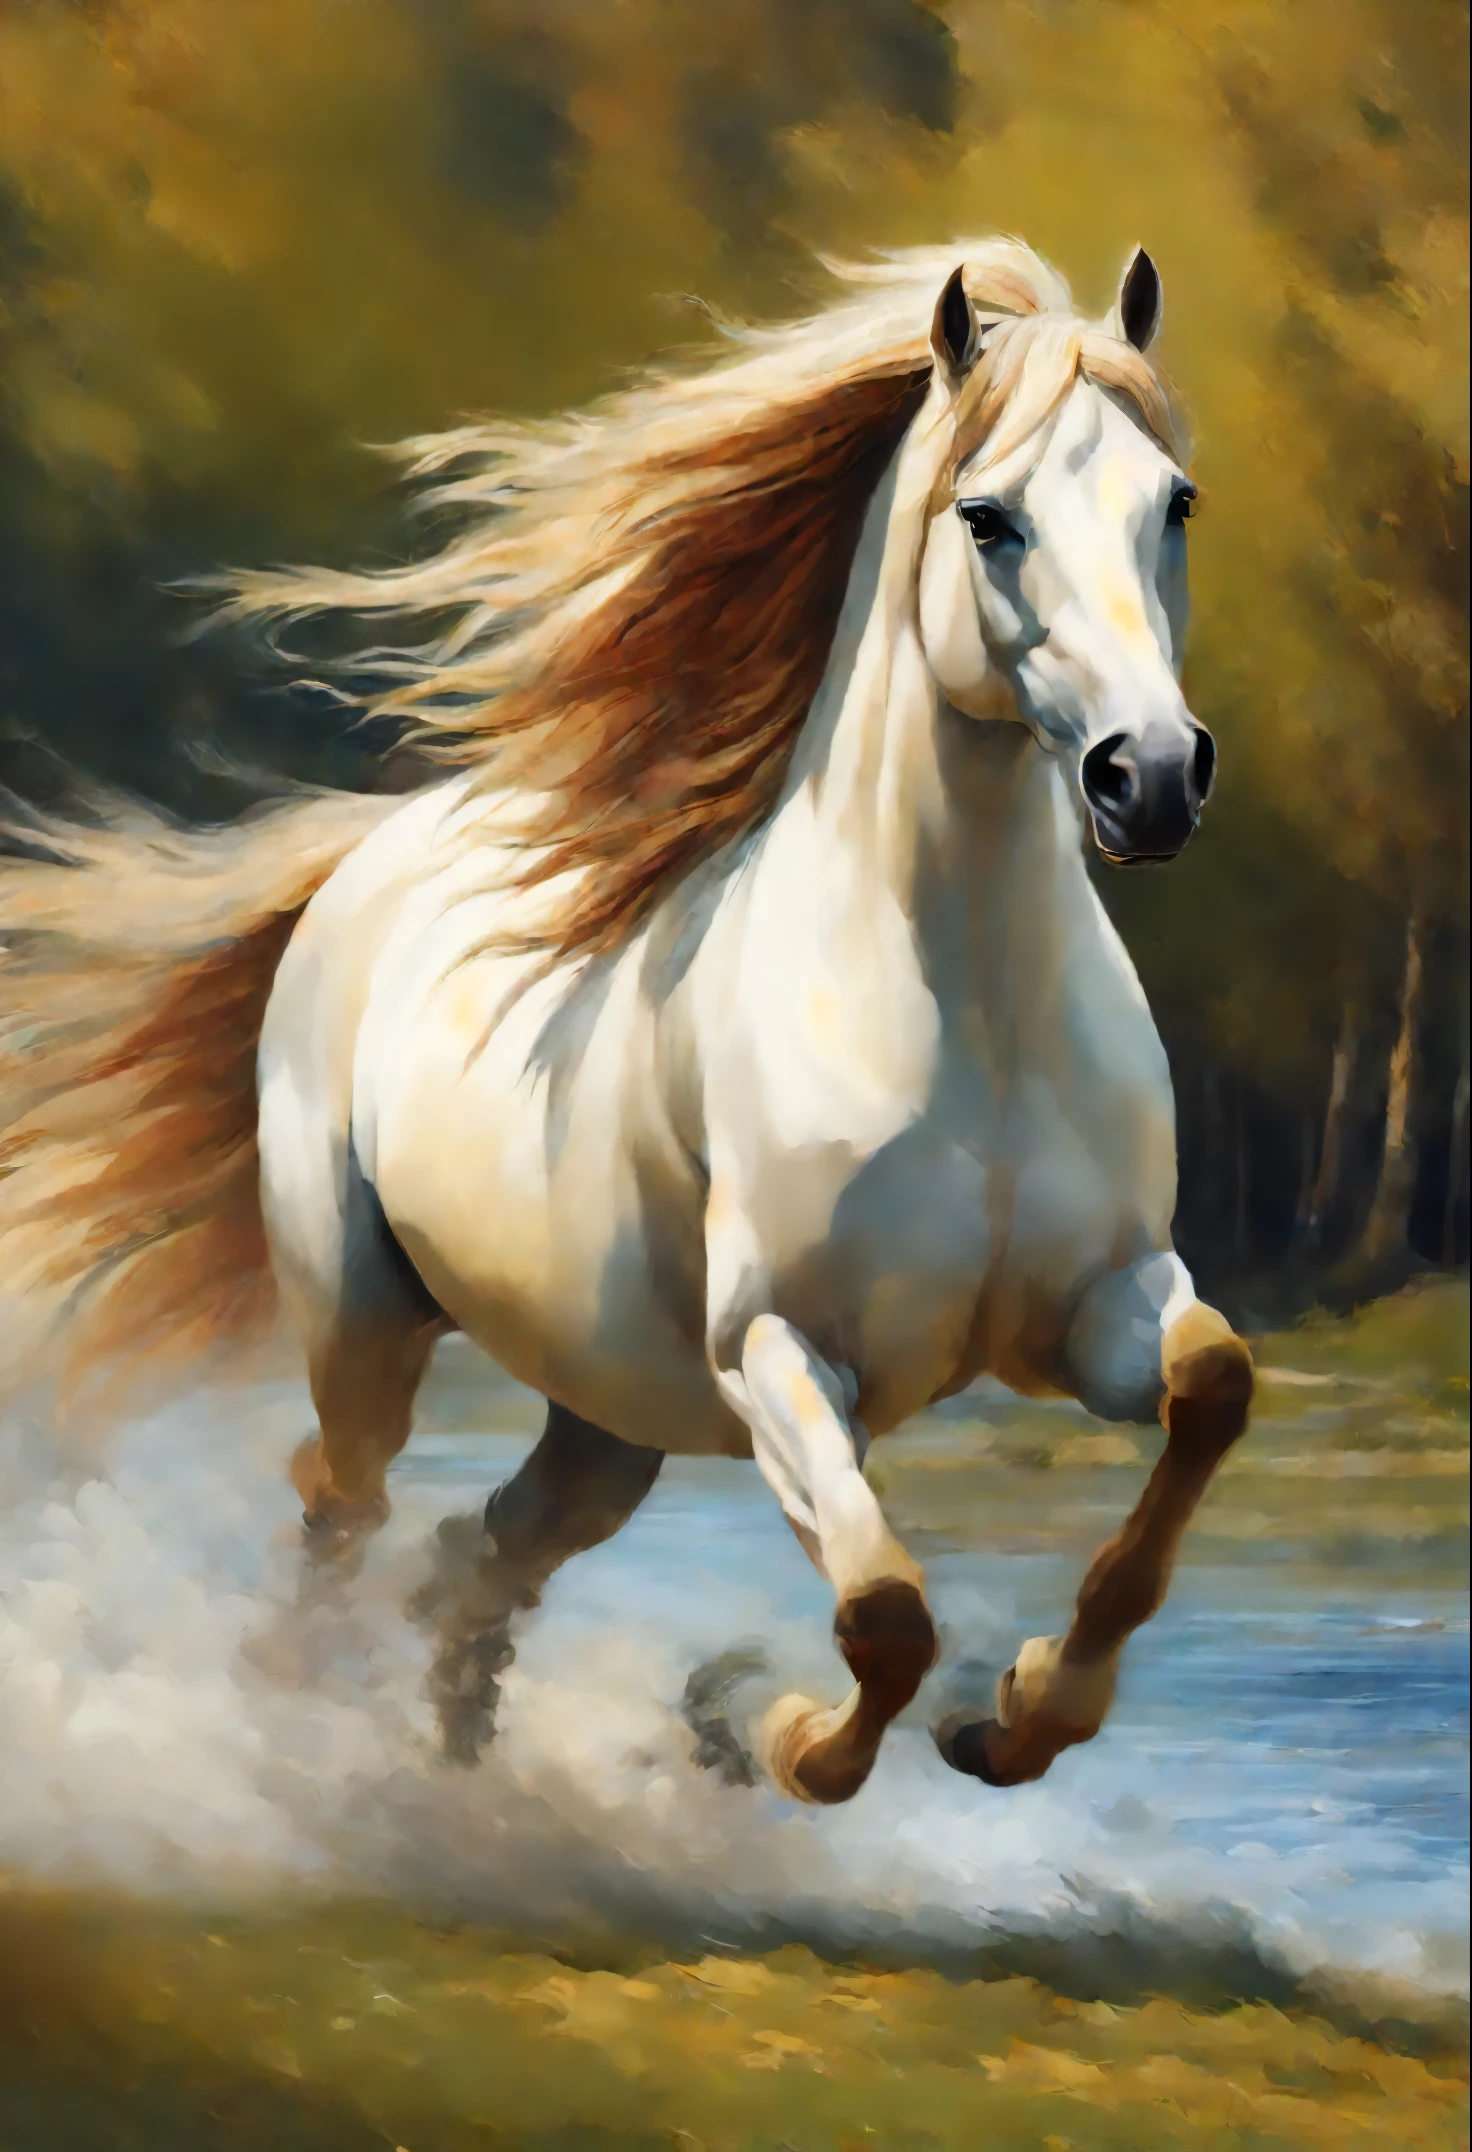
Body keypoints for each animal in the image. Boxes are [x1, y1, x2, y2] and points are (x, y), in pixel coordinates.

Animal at [0, 238, 1253, 1806]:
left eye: (1176, 501)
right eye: (989, 518)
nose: (1150, 777)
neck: (963, 1011)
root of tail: (376, 855)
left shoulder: (1098, 1300)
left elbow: (1211, 1385)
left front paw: (1013, 1716)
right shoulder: (778, 1353)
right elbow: (884, 1615)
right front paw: (782, 1736)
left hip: (607, 1415)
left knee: (480, 1552)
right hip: (365, 1324)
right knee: (345, 1509)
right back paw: (313, 1754)